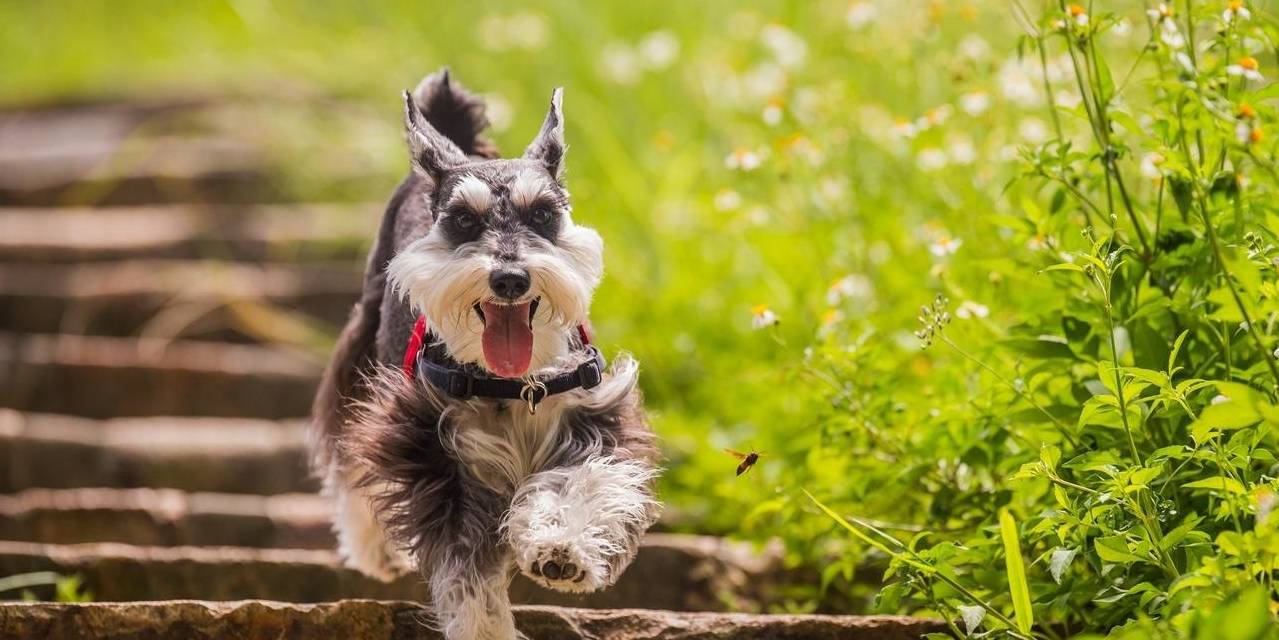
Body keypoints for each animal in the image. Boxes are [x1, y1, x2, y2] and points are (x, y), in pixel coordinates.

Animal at [306, 67, 659, 637]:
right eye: (463, 221)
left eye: (543, 214)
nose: (510, 278)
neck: (515, 383)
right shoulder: (434, 455)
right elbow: (465, 569)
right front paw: (484, 627)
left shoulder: (596, 419)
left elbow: (580, 482)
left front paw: (562, 548)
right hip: (362, 351)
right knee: (346, 453)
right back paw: (374, 550)